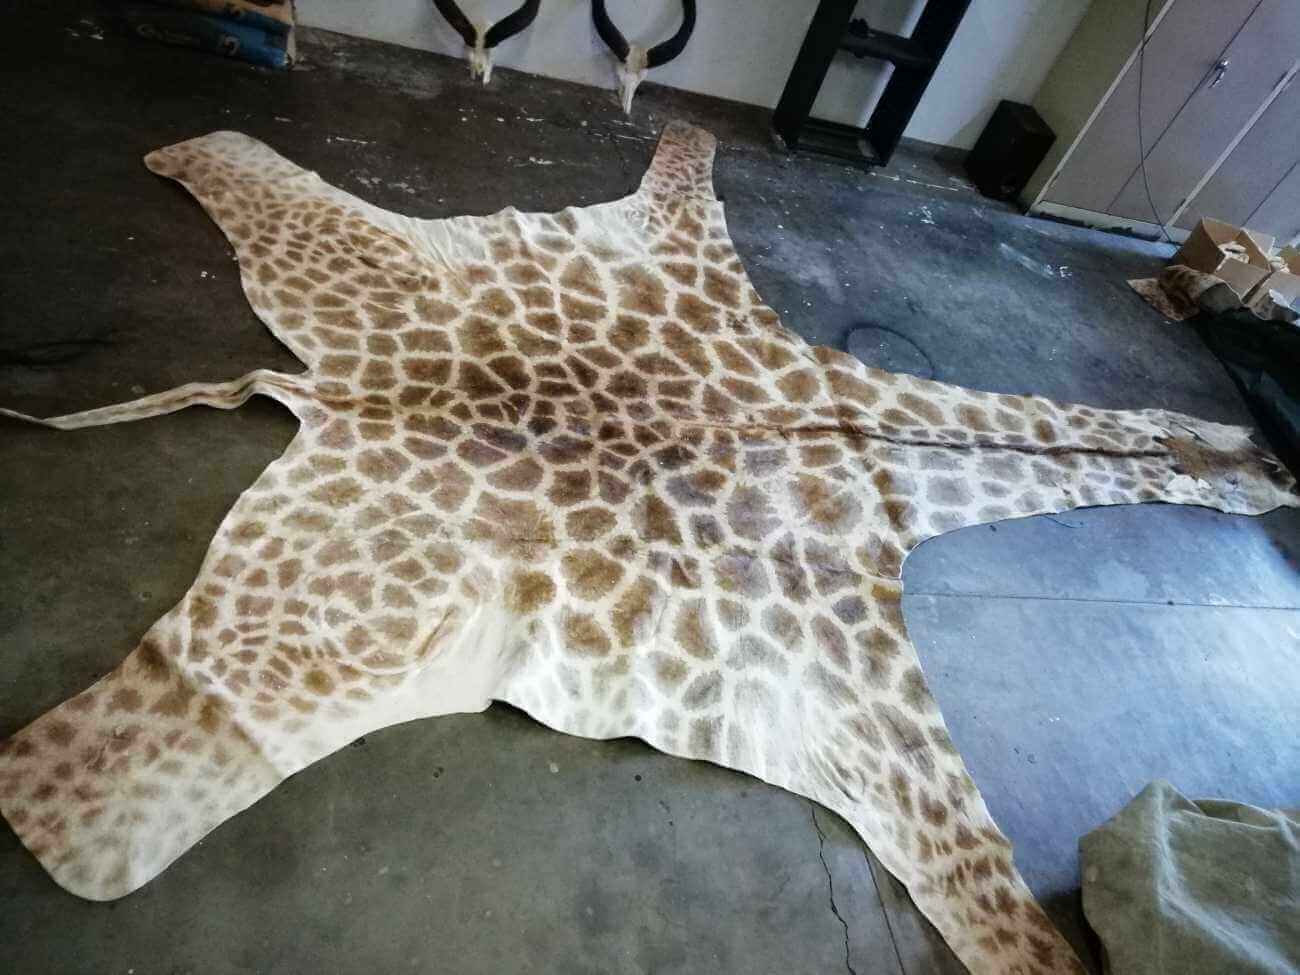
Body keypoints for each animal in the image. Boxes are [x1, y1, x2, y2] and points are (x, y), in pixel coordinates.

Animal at [0, 122, 1294, 975]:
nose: (1275, 463)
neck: (856, 437)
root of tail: (332, 396)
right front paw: (1038, 953)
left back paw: (189, 156)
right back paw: (43, 820)